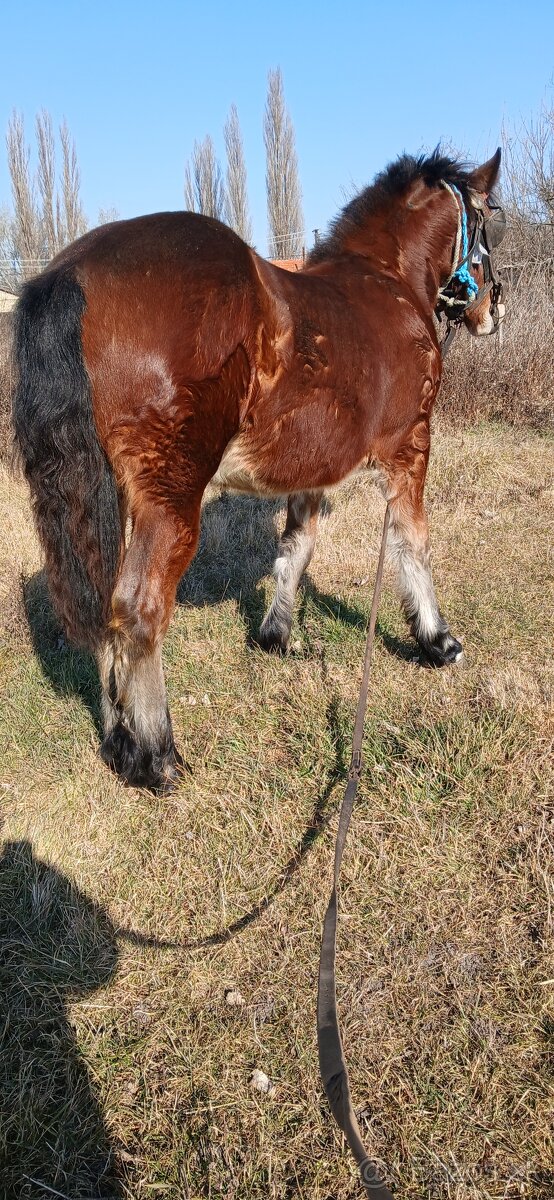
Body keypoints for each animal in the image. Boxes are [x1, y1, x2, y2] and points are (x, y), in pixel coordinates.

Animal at [12, 145, 506, 792]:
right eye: (489, 221)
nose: (495, 307)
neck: (388, 282)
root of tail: (70, 272)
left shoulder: (312, 470)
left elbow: (296, 546)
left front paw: (276, 634)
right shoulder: (409, 446)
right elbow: (411, 544)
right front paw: (437, 641)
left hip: (107, 496)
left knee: (105, 605)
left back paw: (121, 742)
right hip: (170, 496)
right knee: (138, 609)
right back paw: (156, 756)